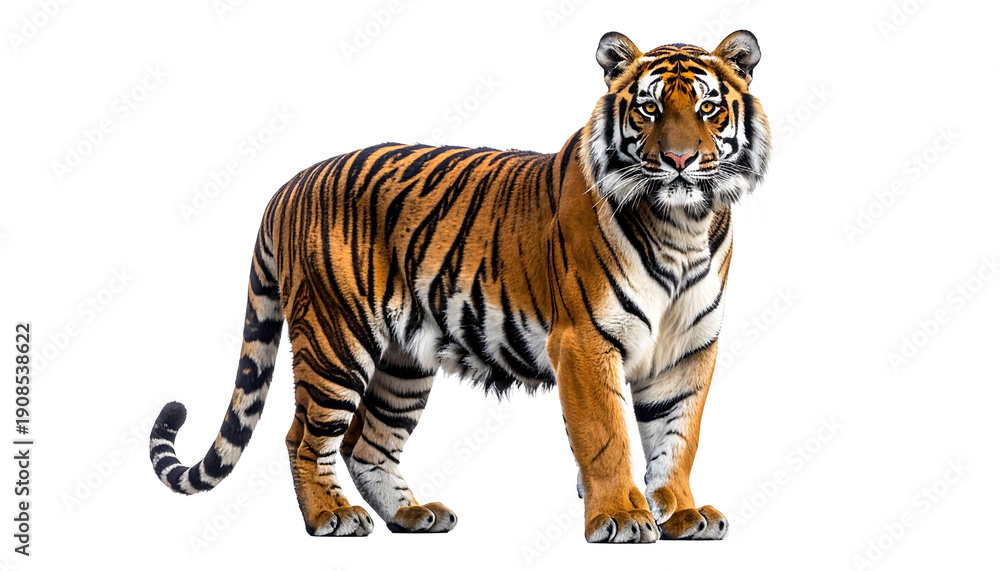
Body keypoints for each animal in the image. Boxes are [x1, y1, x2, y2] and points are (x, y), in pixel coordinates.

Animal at [148, 29, 771, 543]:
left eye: (709, 108)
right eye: (649, 108)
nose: (680, 159)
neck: (682, 227)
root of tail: (289, 185)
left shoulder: (688, 349)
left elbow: (677, 439)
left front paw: (683, 514)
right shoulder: (585, 341)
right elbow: (607, 437)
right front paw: (621, 516)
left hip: (402, 362)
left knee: (365, 442)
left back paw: (412, 514)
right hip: (335, 339)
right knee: (303, 437)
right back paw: (331, 515)